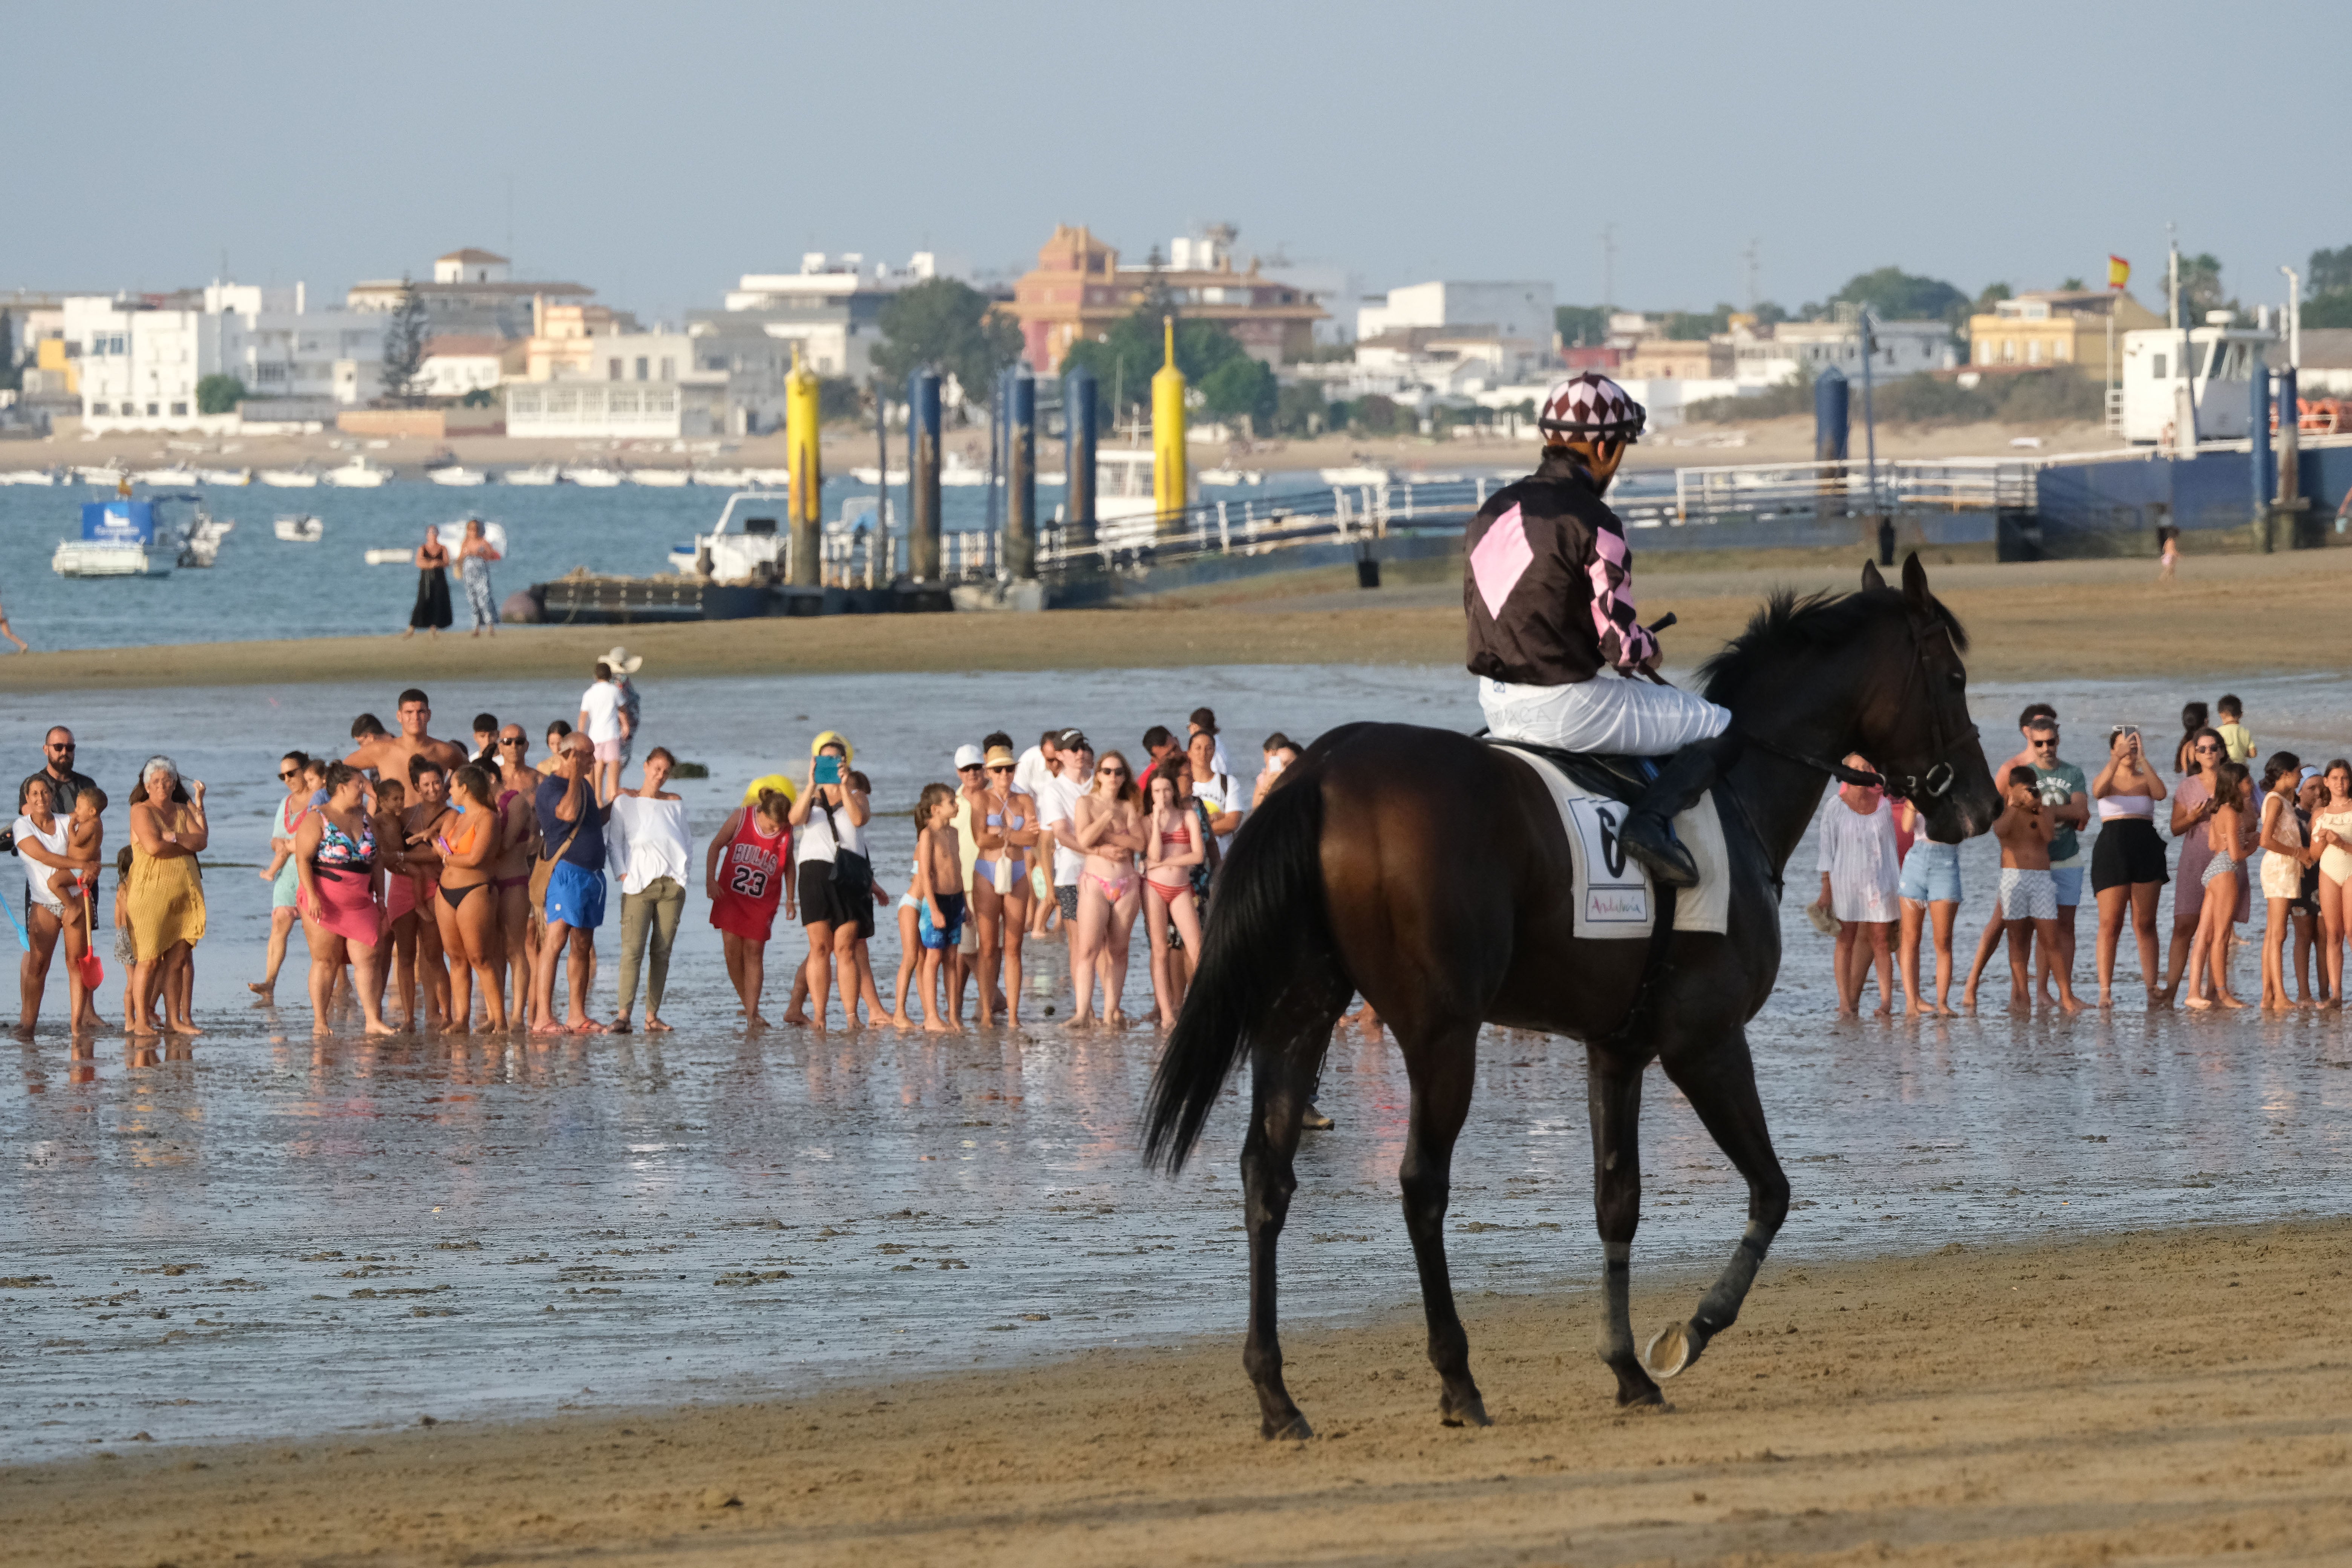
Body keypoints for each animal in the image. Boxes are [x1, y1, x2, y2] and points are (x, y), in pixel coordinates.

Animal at [1148, 557, 1994, 1438]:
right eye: (1954, 676)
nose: (1986, 804)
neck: (1736, 793)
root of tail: (1320, 771)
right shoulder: (1706, 1040)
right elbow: (1772, 1190)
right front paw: (1689, 1332)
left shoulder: (1617, 1047)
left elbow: (1617, 1201)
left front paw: (1626, 1367)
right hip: (1441, 1032)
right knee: (1421, 1184)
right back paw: (1457, 1378)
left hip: (1299, 1012)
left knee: (1266, 1176)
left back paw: (1277, 1395)